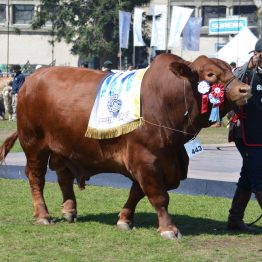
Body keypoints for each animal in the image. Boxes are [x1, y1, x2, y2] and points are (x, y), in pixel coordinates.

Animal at [0, 53, 251, 239]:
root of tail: (33, 78)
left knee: (63, 176)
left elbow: (136, 192)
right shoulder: (146, 159)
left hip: (64, 147)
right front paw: (168, 228)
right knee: (36, 178)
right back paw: (43, 215)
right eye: (210, 74)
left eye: (231, 69)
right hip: (34, 144)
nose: (245, 89)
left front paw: (124, 219)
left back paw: (69, 210)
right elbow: (158, 196)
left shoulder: (157, 161)